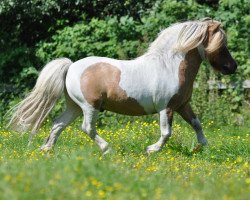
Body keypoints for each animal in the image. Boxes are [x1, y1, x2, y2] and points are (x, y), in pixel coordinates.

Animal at [9, 18, 236, 153]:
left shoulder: (182, 105)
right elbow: (166, 133)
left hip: (74, 107)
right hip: (89, 106)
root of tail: (71, 66)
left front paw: (204, 147)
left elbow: (197, 124)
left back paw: (46, 149)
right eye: (221, 44)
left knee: (58, 124)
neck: (170, 65)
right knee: (87, 128)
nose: (232, 67)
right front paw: (151, 150)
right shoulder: (166, 107)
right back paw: (107, 149)